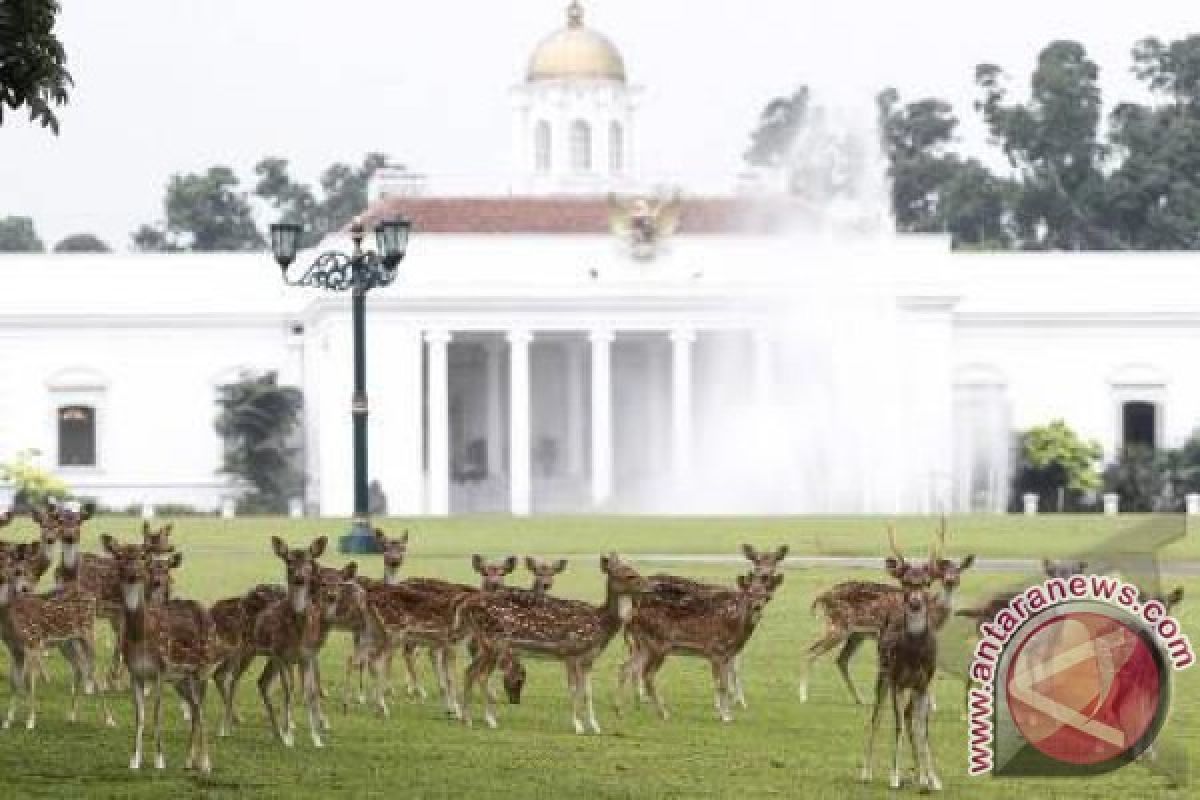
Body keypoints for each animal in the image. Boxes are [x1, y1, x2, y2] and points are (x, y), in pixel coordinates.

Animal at [0, 551, 113, 734]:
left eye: (20, 571)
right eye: (14, 572)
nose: (23, 589)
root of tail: (91, 596)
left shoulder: (32, 643)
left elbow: (29, 682)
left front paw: (30, 722)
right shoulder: (14, 649)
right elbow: (14, 682)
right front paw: (7, 722)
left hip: (87, 631)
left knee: (93, 669)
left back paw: (109, 719)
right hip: (66, 642)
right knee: (79, 668)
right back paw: (71, 716)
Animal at [458, 554, 652, 734]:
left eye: (635, 570)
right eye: (630, 575)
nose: (651, 586)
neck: (600, 624)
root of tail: (468, 605)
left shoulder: (588, 659)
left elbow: (588, 692)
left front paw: (595, 727)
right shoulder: (570, 651)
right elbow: (573, 690)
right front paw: (578, 726)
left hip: (486, 644)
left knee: (469, 671)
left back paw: (468, 719)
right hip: (494, 641)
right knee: (480, 675)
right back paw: (488, 720)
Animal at [796, 522, 974, 705]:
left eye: (959, 571)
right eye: (944, 573)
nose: (950, 580)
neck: (934, 614)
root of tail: (821, 597)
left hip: (856, 634)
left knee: (841, 659)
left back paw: (860, 699)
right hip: (838, 625)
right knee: (811, 651)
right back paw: (803, 696)